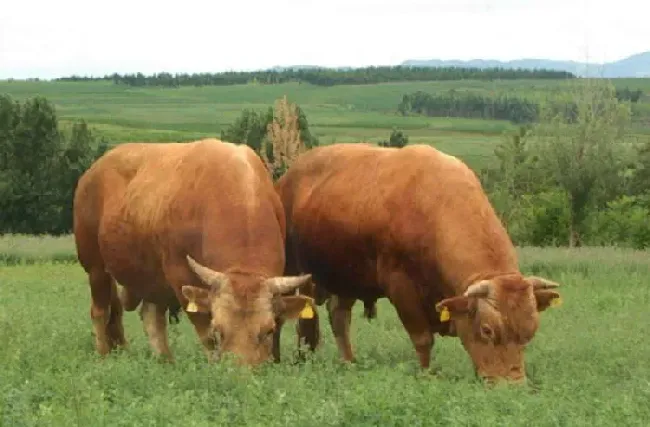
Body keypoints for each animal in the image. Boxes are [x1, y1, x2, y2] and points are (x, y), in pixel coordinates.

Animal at [72, 139, 316, 366]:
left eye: (269, 331)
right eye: (219, 330)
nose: (240, 373)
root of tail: (94, 170)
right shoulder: (180, 277)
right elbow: (206, 336)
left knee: (151, 317)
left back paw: (165, 361)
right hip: (96, 268)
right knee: (100, 312)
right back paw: (103, 354)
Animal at [274, 144, 560, 384]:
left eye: (530, 332)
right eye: (488, 330)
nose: (513, 385)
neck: (435, 206)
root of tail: (289, 176)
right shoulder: (401, 288)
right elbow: (423, 340)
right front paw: (426, 376)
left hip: (346, 276)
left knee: (338, 317)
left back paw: (348, 362)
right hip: (296, 272)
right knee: (296, 320)